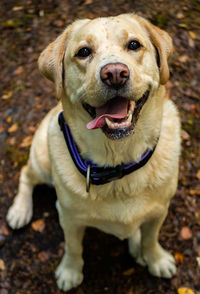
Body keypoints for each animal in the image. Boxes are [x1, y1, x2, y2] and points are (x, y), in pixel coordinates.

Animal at [7, 13, 180, 292]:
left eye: (134, 45)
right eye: (84, 52)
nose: (115, 74)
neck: (118, 164)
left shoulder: (159, 212)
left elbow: (150, 239)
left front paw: (155, 259)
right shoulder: (70, 218)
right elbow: (73, 247)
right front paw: (70, 272)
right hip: (41, 161)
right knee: (25, 174)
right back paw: (19, 210)